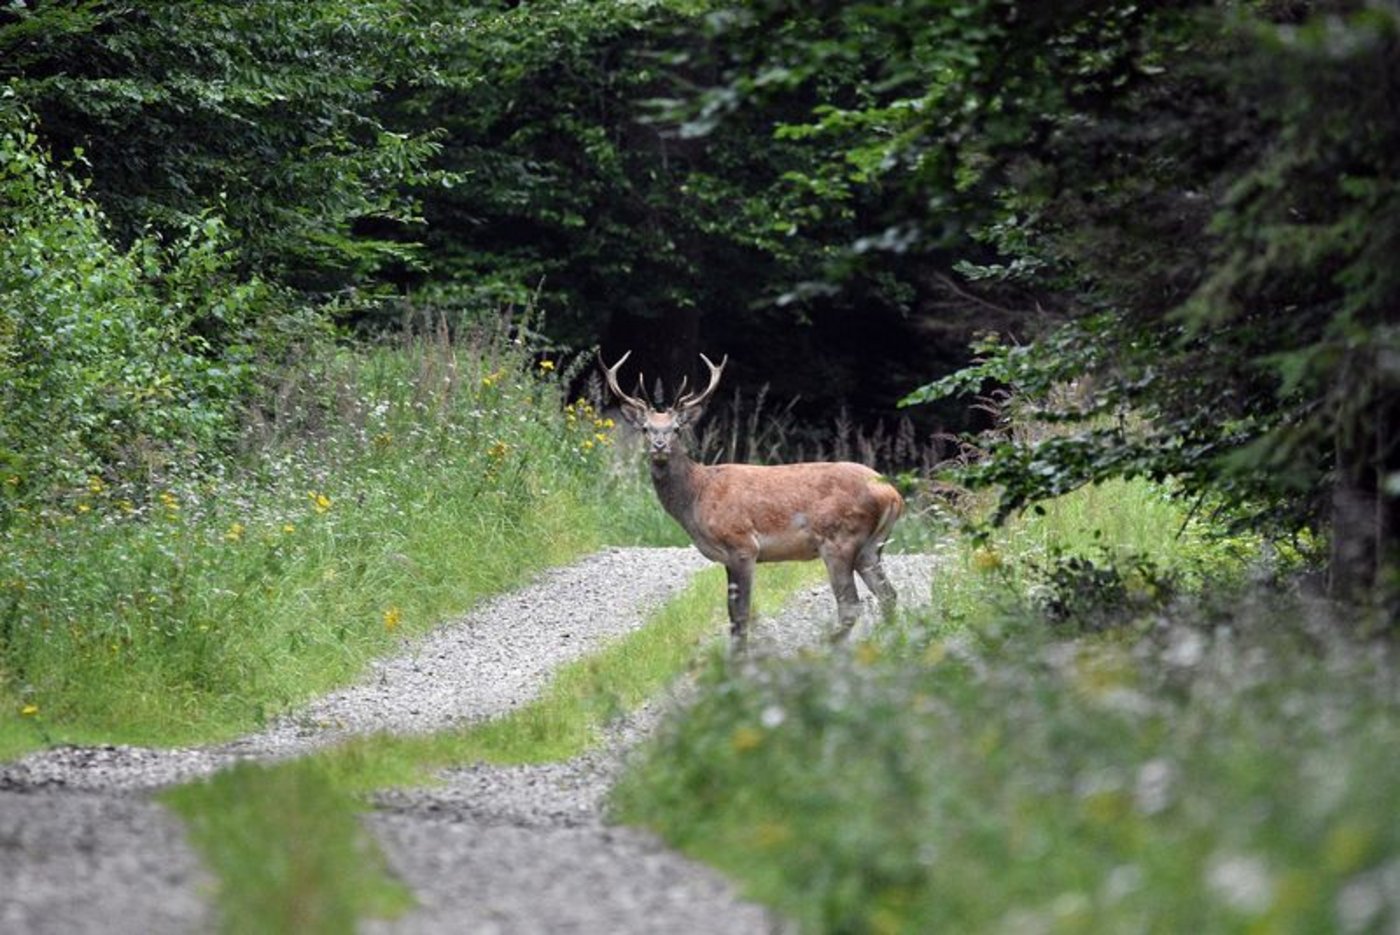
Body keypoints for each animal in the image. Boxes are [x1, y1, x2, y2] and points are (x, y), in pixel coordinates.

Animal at [602, 351, 904, 652]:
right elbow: (732, 612)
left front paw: (739, 656)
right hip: (870, 547)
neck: (697, 497)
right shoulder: (727, 557)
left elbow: (741, 613)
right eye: (645, 428)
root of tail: (893, 494)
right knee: (888, 594)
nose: (659, 446)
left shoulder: (743, 545)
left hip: (839, 540)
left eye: (676, 428)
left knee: (851, 605)